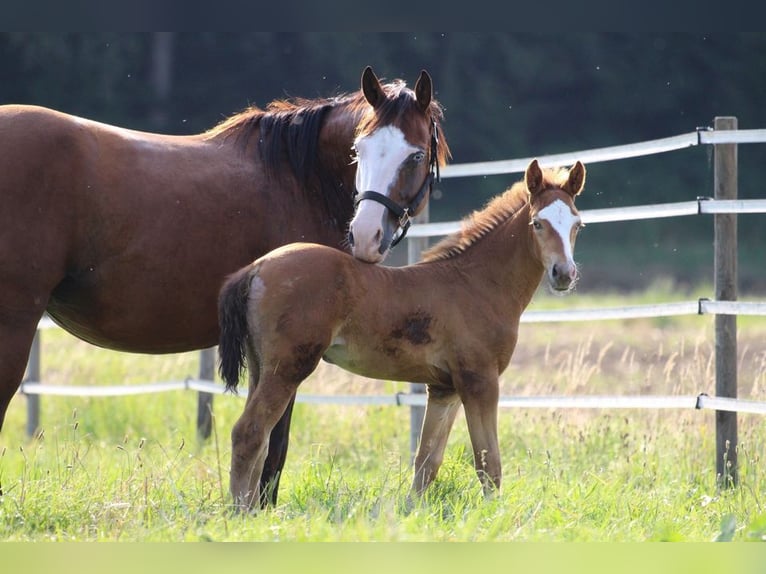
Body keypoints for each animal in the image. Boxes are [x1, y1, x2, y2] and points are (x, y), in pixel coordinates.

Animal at [0, 66, 450, 502]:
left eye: (415, 154)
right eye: (360, 150)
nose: (366, 236)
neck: (299, 178)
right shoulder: (288, 351)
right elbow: (274, 442)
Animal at [217, 158, 586, 511]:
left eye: (577, 224)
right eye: (537, 223)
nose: (564, 274)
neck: (476, 283)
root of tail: (256, 267)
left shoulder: (444, 389)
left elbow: (427, 462)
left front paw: (412, 514)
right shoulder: (479, 381)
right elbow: (488, 463)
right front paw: (497, 516)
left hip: (261, 367)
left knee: (259, 440)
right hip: (287, 369)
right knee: (249, 433)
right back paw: (240, 515)